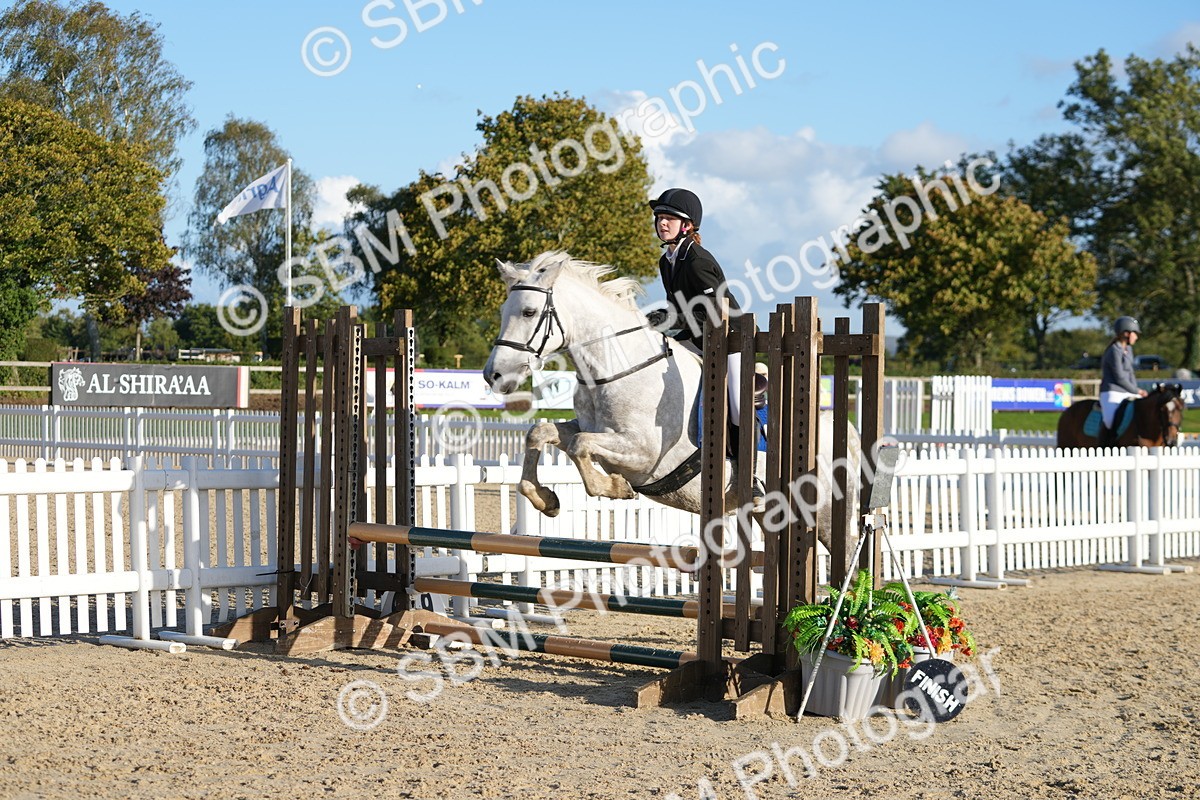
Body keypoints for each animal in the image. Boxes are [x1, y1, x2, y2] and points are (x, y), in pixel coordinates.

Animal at [480, 251, 861, 568]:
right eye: (502, 313)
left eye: (529, 312)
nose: (493, 375)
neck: (620, 366)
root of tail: (841, 431)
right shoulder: (593, 430)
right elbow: (541, 433)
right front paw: (545, 499)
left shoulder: (643, 453)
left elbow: (579, 447)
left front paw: (615, 487)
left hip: (825, 513)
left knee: (847, 553)